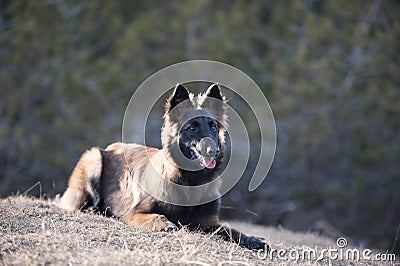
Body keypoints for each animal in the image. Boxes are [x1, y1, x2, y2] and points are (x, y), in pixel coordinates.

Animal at [60, 83, 268, 251]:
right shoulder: (134, 212)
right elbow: (155, 216)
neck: (190, 183)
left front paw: (254, 240)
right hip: (94, 156)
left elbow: (234, 232)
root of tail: (111, 147)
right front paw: (164, 224)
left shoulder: (208, 222)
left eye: (213, 127)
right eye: (192, 127)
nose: (213, 151)